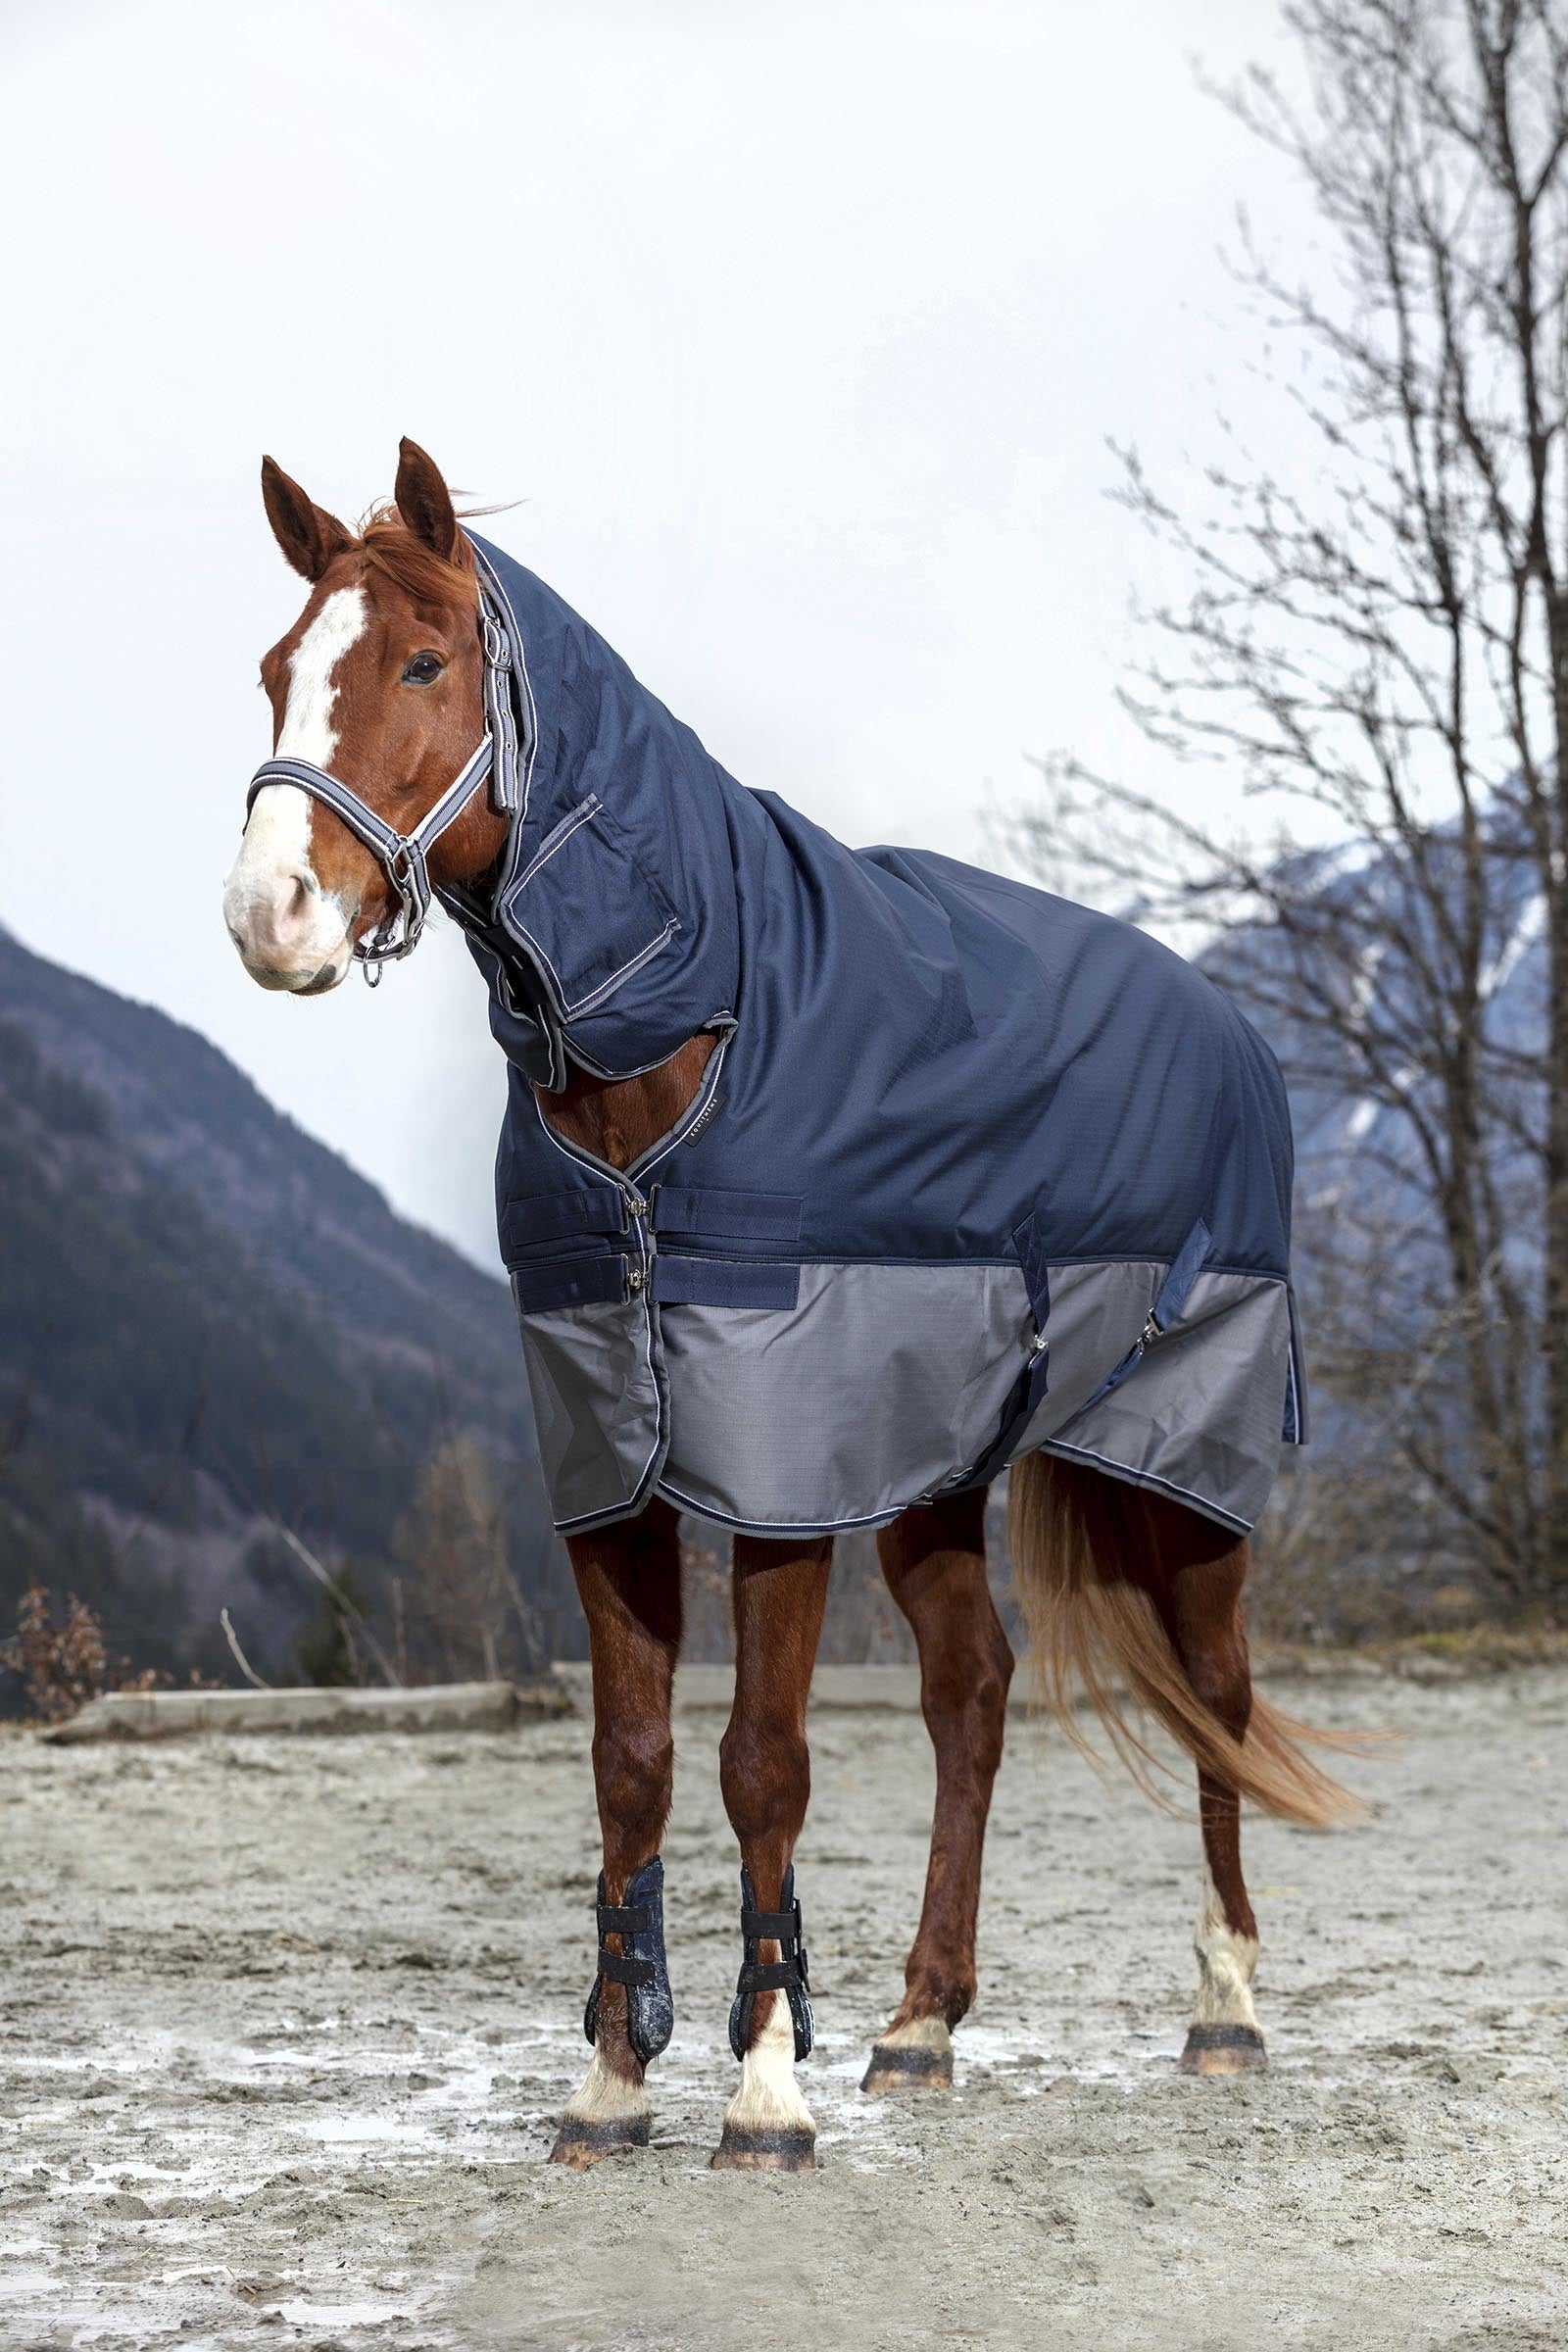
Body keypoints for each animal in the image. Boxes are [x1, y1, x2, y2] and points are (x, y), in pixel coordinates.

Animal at [223, 439, 1359, 2173]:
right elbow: (630, 1765)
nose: (268, 913)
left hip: (1182, 1468)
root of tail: (1226, 1027)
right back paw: (919, 2024)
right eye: (279, 670)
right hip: (940, 1470)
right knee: (972, 1697)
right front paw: (612, 2081)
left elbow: (763, 1762)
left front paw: (763, 2087)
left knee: (1218, 1700)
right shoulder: (610, 1467)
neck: (686, 1038)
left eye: (419, 663)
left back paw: (1224, 2008)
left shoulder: (782, 1480)